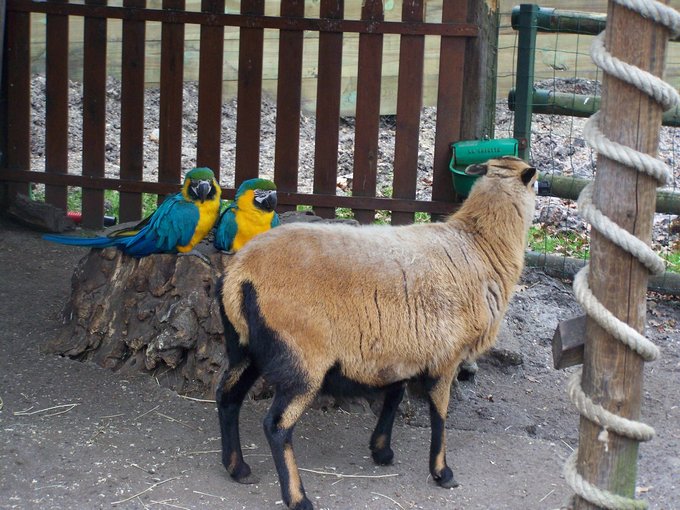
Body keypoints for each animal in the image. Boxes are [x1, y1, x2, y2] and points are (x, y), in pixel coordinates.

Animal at [216, 156, 538, 510]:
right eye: (536, 183)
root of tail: (240, 275)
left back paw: (238, 468)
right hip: (301, 356)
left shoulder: (403, 348)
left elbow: (394, 396)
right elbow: (439, 413)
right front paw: (442, 472)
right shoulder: (447, 355)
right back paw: (297, 497)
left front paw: (382, 450)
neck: (480, 244)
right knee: (276, 426)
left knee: (227, 397)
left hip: (246, 347)